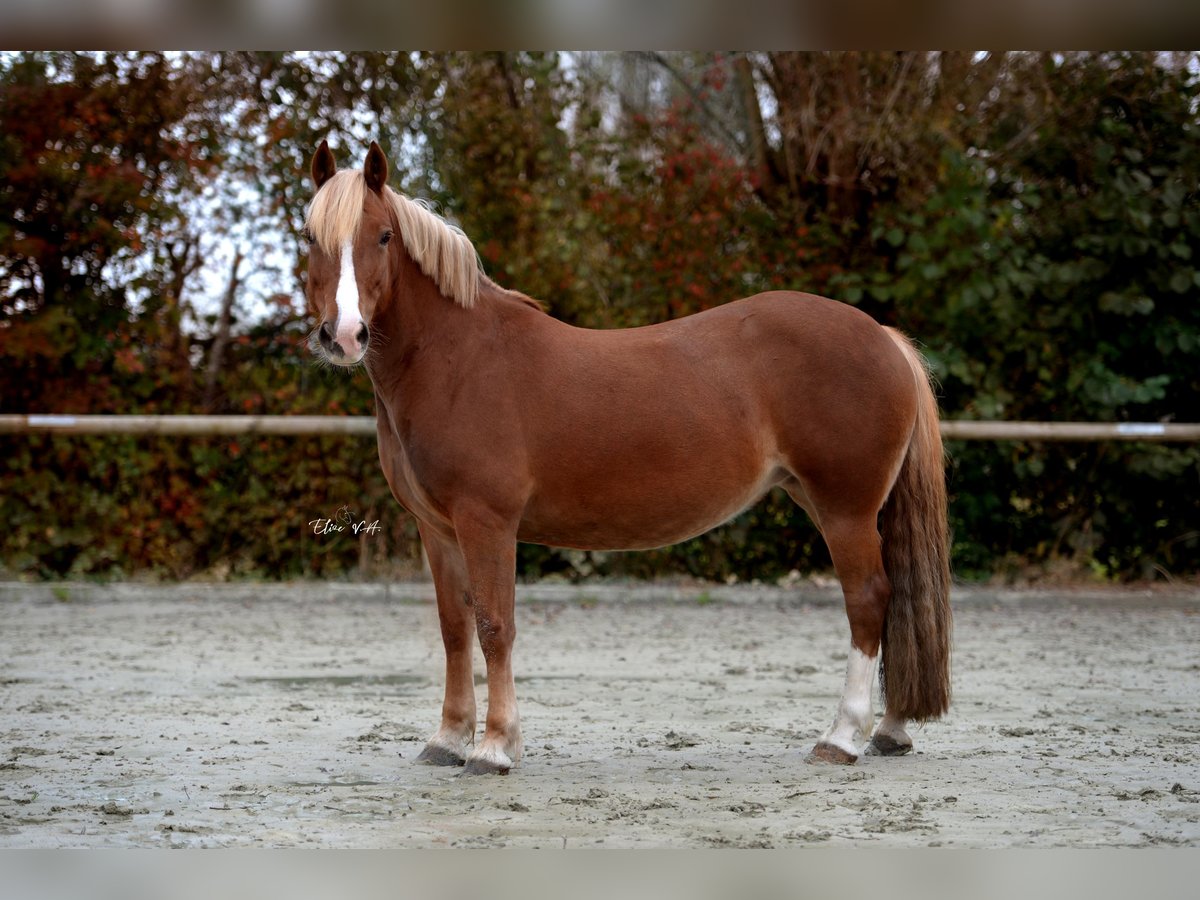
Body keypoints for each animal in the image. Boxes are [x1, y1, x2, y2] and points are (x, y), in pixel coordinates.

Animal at [304, 139, 950, 777]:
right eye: (310, 236)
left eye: (384, 235)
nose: (344, 335)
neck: (456, 359)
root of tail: (884, 337)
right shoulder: (437, 529)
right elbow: (455, 629)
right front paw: (448, 739)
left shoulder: (486, 521)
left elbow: (494, 626)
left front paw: (494, 747)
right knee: (900, 601)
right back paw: (890, 731)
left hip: (844, 508)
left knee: (869, 600)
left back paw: (841, 738)